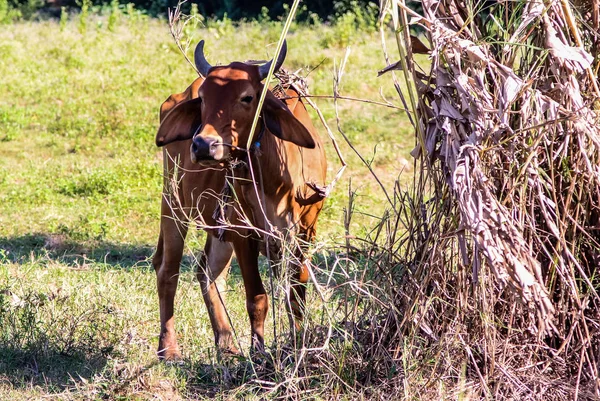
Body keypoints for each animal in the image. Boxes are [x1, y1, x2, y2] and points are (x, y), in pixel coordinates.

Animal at [152, 40, 326, 360]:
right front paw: (258, 352)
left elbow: (296, 293)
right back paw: (168, 348)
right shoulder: (243, 234)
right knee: (167, 270)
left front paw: (298, 342)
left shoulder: (305, 233)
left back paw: (226, 343)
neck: (271, 179)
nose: (203, 145)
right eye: (203, 98)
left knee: (208, 272)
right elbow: (257, 298)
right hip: (173, 203)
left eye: (247, 97)